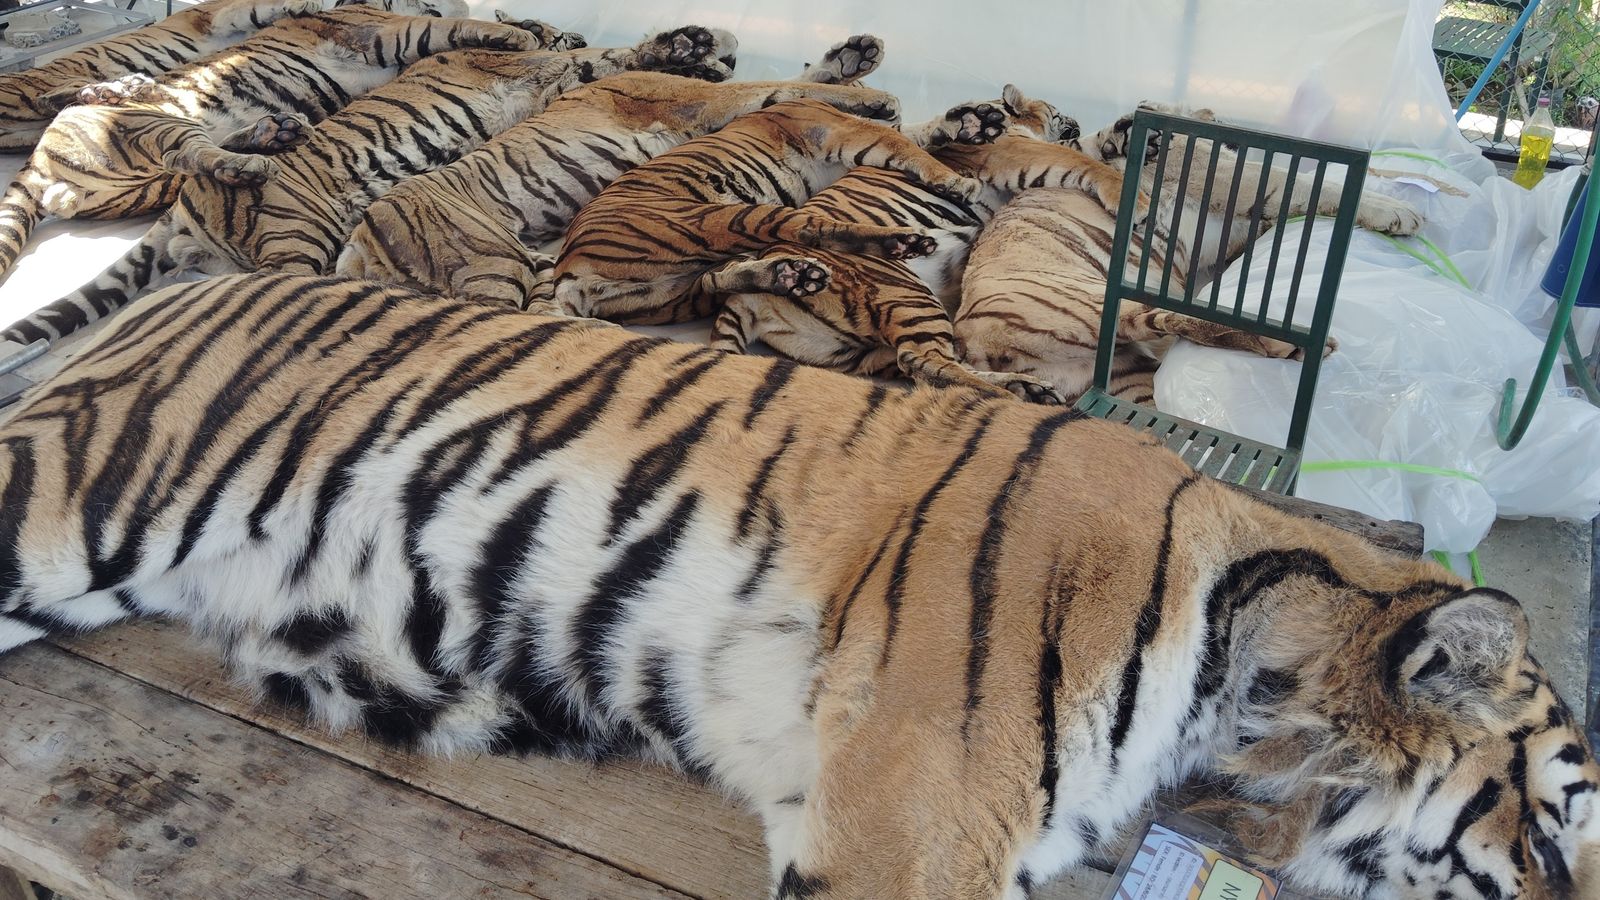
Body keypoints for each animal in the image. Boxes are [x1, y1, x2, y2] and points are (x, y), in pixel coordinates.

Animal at [0, 0, 337, 152]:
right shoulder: (215, 17)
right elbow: (252, 9)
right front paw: (303, 4)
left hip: (27, 130)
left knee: (56, 103)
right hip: (24, 95)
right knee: (45, 99)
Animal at [334, 34, 901, 307]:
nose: (721, 59)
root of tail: (358, 245)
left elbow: (793, 82)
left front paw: (855, 58)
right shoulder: (704, 99)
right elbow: (784, 86)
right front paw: (878, 97)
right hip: (491, 264)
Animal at [546, 97, 990, 328]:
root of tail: (566, 271)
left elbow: (913, 134)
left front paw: (969, 123)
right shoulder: (848, 130)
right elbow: (905, 143)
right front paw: (958, 178)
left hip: (669, 298)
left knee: (715, 281)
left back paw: (793, 275)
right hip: (723, 218)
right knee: (809, 228)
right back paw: (904, 242)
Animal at [705, 86, 1131, 403]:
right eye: (1058, 113)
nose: (1078, 122)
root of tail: (750, 300)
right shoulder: (1017, 152)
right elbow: (1081, 163)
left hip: (858, 352)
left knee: (929, 364)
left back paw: (1028, 388)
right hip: (906, 292)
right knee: (923, 361)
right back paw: (1011, 396)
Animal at [955, 104, 1427, 404]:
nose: (1125, 126)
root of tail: (967, 339)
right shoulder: (1242, 183)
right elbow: (1319, 184)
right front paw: (1403, 213)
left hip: (1126, 374)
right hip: (1093, 299)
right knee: (1173, 318)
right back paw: (1290, 344)